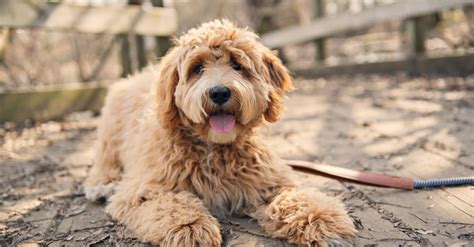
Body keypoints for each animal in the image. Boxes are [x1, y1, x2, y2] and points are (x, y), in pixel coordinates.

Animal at [84, 20, 356, 246]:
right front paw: (190, 228)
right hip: (110, 134)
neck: (213, 148)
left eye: (237, 64)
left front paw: (320, 219)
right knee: (104, 162)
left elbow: (295, 197)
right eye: (197, 68)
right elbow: (170, 204)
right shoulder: (142, 190)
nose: (219, 92)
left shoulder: (269, 182)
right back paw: (102, 185)